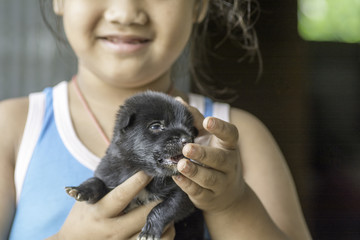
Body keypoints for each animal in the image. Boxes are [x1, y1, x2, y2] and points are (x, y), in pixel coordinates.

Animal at [65, 91, 202, 239]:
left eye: (190, 129)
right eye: (155, 126)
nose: (188, 139)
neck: (141, 168)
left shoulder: (185, 195)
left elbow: (166, 207)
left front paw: (149, 231)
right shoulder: (109, 176)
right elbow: (96, 182)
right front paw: (80, 189)